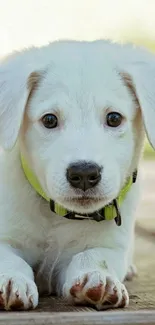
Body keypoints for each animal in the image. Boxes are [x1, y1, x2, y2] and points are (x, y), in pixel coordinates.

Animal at [0, 39, 154, 308]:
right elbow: (9, 257)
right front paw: (11, 279)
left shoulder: (112, 246)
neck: (58, 215)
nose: (83, 173)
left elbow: (94, 255)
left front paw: (98, 276)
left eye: (114, 118)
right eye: (49, 120)